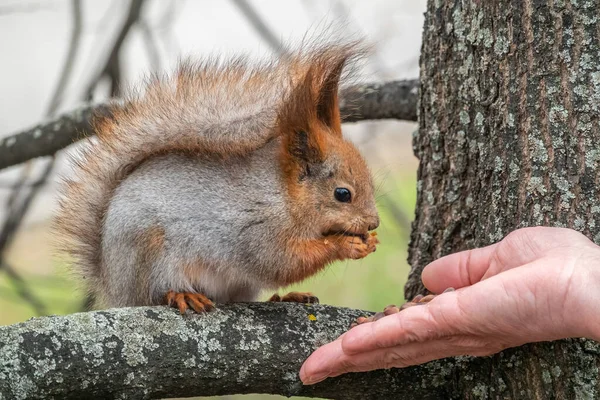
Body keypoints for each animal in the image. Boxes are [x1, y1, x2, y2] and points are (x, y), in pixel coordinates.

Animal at [54, 43, 378, 312]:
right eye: (342, 194)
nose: (374, 223)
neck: (283, 195)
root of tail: (113, 287)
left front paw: (368, 241)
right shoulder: (257, 230)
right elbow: (281, 263)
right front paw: (344, 245)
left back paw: (285, 298)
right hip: (150, 255)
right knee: (155, 293)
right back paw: (181, 295)